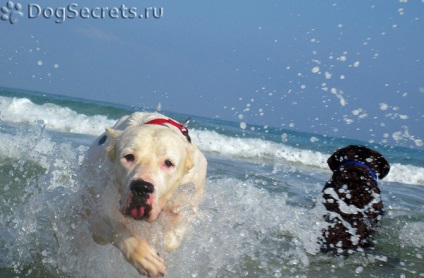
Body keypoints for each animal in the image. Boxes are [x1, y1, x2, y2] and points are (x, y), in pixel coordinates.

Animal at [83, 112, 207, 276]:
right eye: (129, 157)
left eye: (168, 163)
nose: (142, 187)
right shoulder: (97, 218)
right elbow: (114, 228)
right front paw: (144, 257)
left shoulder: (193, 190)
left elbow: (173, 236)